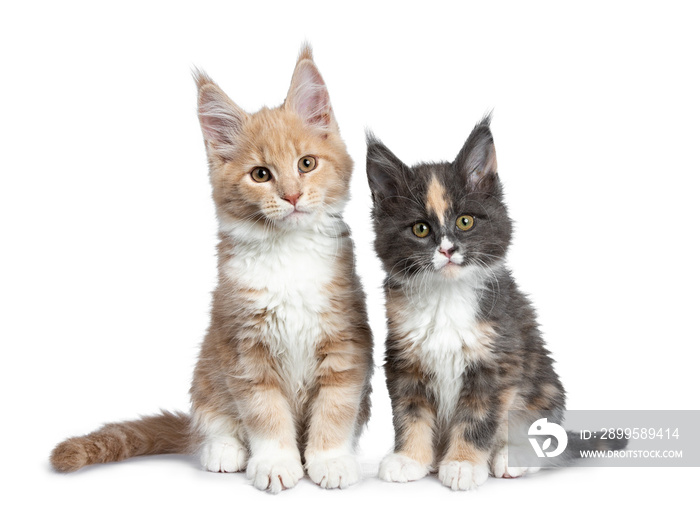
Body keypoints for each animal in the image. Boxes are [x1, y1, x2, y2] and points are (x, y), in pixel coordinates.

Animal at [50, 45, 374, 492]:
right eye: (261, 174)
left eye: (307, 164)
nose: (291, 196)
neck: (288, 252)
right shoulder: (242, 347)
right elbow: (264, 412)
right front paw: (275, 461)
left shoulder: (345, 340)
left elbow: (336, 407)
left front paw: (329, 459)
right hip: (208, 367)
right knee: (213, 419)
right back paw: (224, 450)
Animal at [366, 116, 568, 490]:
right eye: (420, 228)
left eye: (465, 221)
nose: (447, 249)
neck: (446, 298)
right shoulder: (404, 359)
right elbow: (410, 413)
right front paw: (409, 458)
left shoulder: (497, 361)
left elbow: (477, 418)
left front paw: (462, 464)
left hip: (544, 388)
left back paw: (512, 458)